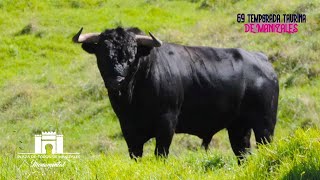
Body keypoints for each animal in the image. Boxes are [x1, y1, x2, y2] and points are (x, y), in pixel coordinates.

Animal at [72, 27, 278, 163]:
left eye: (132, 56)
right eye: (102, 55)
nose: (116, 81)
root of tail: (261, 59)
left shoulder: (167, 122)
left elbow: (160, 154)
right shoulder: (128, 128)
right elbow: (135, 155)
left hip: (265, 123)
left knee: (264, 146)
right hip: (238, 126)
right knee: (243, 153)